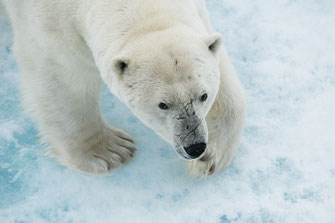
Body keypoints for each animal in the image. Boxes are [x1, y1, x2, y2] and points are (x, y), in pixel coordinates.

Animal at [3, 0, 247, 176]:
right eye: (163, 105)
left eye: (203, 95)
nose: (195, 147)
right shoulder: (50, 23)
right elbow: (64, 79)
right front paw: (110, 151)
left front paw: (211, 155)